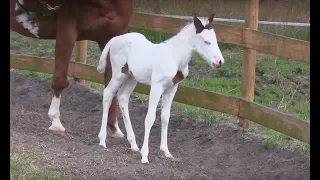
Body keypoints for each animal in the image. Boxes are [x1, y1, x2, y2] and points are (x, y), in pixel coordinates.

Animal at [9, 0, 133, 136]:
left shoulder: (111, 38)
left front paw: (114, 128)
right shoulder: (67, 30)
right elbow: (60, 80)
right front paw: (56, 123)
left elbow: (112, 87)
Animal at [96, 14, 224, 163]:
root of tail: (115, 39)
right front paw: (145, 156)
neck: (174, 57)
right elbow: (150, 117)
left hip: (131, 78)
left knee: (122, 98)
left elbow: (165, 117)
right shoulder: (157, 86)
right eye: (206, 41)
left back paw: (133, 145)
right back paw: (102, 141)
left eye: (215, 40)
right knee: (107, 94)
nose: (219, 62)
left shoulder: (172, 88)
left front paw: (166, 152)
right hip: (118, 75)